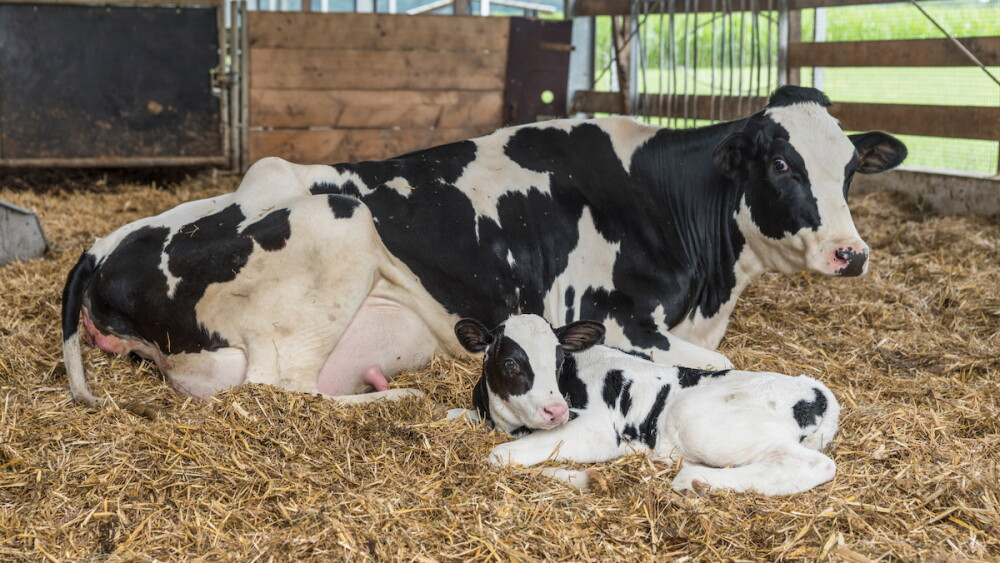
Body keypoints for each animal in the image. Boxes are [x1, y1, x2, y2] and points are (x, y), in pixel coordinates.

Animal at [61, 86, 906, 415]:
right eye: (782, 163)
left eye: (850, 168)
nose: (851, 252)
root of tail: (105, 242)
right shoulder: (614, 315)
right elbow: (720, 364)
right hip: (335, 224)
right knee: (283, 387)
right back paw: (392, 398)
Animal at [451, 314, 841, 496]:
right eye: (510, 363)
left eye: (559, 358)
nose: (556, 410)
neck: (507, 421)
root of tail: (817, 391)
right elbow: (456, 415)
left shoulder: (597, 429)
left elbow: (500, 456)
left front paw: (587, 478)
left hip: (703, 422)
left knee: (811, 465)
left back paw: (694, 480)